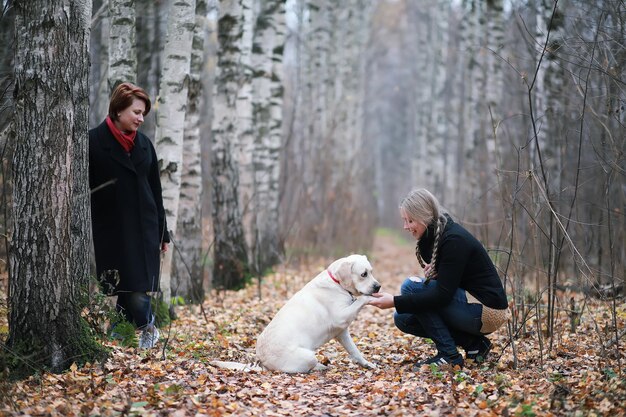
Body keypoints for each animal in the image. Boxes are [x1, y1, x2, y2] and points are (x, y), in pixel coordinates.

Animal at [212, 254, 380, 374]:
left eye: (372, 272)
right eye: (363, 274)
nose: (378, 286)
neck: (337, 283)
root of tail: (262, 362)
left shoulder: (342, 332)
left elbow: (355, 351)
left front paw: (367, 364)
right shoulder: (341, 317)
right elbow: (361, 300)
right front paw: (370, 298)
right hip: (308, 356)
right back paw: (320, 367)